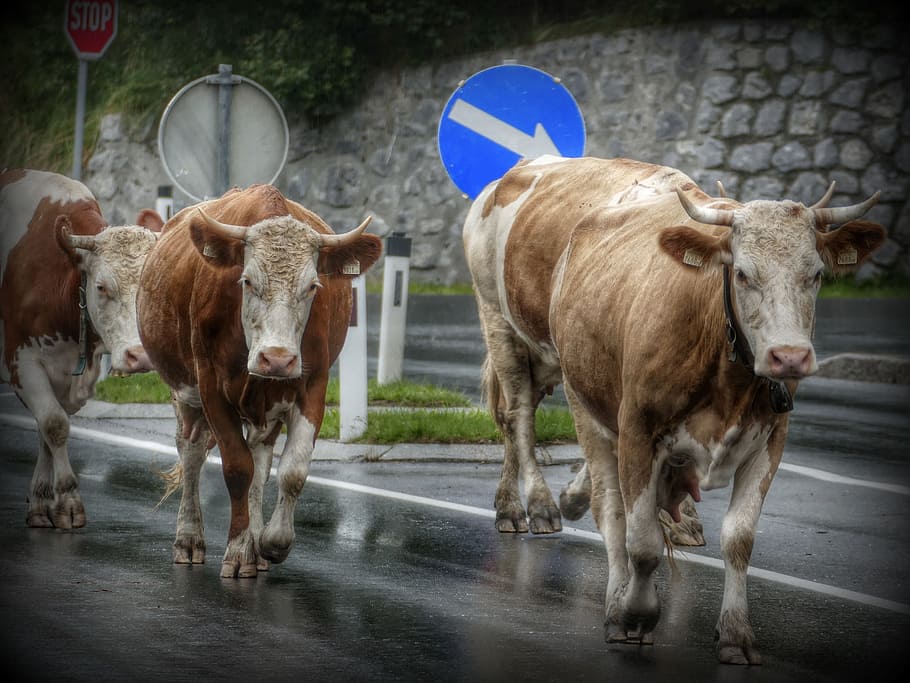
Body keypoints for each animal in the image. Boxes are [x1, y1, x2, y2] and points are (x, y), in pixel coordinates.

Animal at [0, 168, 161, 529]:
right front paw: (69, 500)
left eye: (149, 285)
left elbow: (46, 432)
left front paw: (42, 501)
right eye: (101, 287)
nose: (141, 355)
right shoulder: (22, 362)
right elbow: (54, 425)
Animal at [137, 184, 382, 578]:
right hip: (186, 395)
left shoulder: (313, 385)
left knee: (260, 461)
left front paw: (271, 541)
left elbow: (291, 471)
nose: (277, 358)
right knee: (191, 453)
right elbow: (237, 469)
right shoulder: (210, 387)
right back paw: (189, 538)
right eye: (247, 280)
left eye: (312, 286)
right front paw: (238, 551)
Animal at [463, 155, 884, 664]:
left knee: (515, 421)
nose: (790, 357)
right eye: (742, 273)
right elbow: (639, 539)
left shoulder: (768, 441)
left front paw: (736, 633)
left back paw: (525, 503)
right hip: (502, 326)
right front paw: (635, 612)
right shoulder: (637, 427)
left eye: (817, 274)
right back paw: (537, 508)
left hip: (551, 361)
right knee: (524, 423)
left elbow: (739, 539)